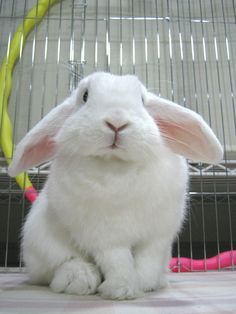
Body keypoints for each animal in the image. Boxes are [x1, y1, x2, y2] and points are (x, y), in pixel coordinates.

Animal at [8, 72, 222, 300]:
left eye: (142, 100)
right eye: (85, 96)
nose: (117, 121)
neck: (117, 166)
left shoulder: (158, 235)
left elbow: (149, 261)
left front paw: (145, 284)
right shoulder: (105, 238)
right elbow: (118, 262)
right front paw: (122, 290)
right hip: (40, 242)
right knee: (61, 264)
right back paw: (80, 279)